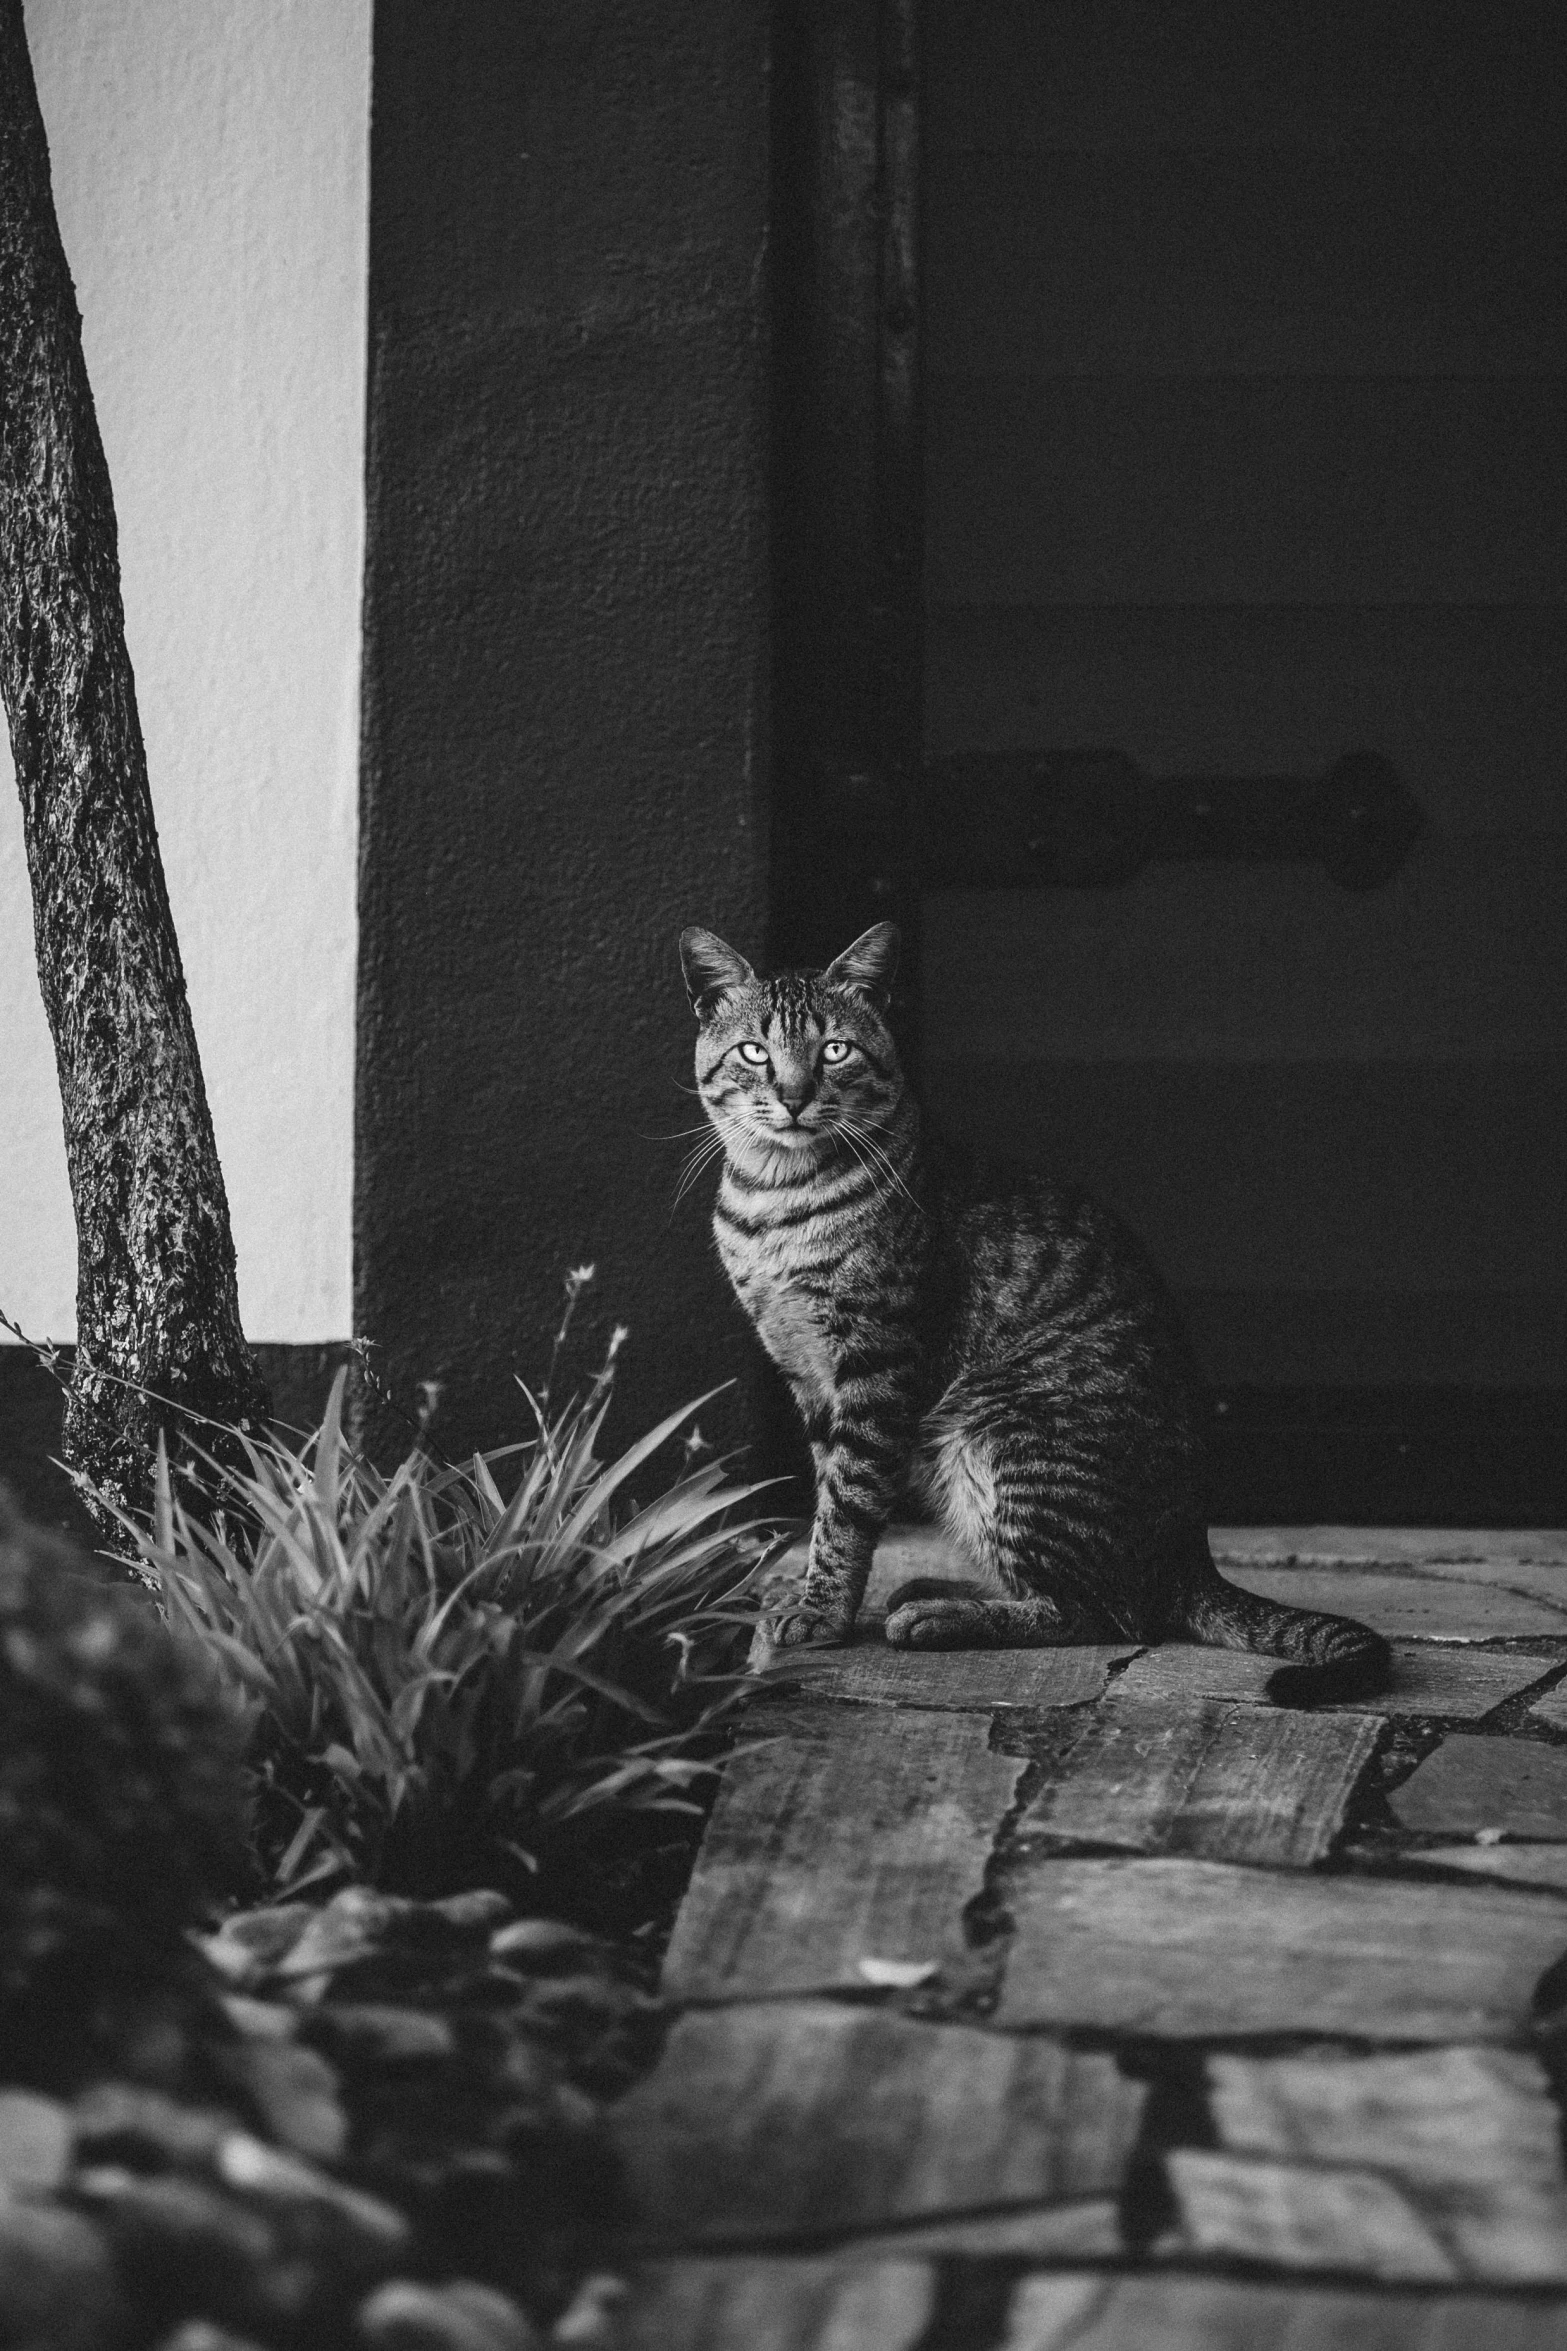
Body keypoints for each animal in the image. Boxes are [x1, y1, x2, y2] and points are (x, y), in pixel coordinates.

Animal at [681, 916, 1390, 1711]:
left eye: (834, 1049)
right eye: (754, 1050)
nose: (796, 1095)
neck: (775, 1201)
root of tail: (1190, 1556)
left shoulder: (876, 1366)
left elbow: (847, 1505)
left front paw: (823, 1611)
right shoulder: (805, 1374)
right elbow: (827, 1489)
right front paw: (814, 1591)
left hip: (1001, 1436)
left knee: (1104, 1612)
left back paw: (940, 1617)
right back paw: (938, 1589)